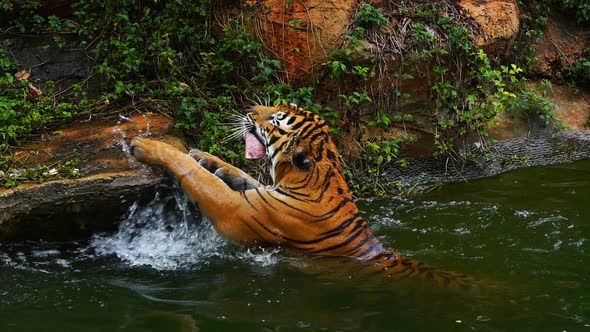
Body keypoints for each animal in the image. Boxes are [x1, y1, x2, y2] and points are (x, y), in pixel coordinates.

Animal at [131, 104, 480, 290]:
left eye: (276, 119)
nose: (249, 109)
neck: (313, 177)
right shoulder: (263, 194)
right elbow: (238, 174)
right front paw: (206, 156)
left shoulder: (237, 212)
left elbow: (197, 177)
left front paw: (145, 146)